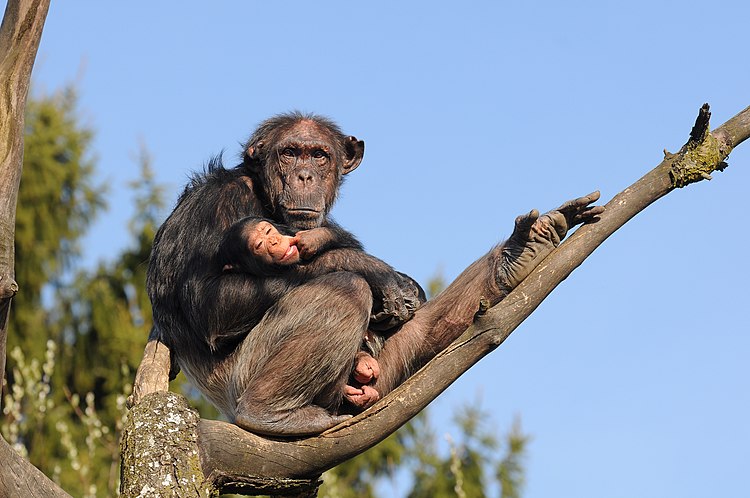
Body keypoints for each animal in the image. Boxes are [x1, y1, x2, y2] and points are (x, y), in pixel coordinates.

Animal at [148, 113, 604, 436]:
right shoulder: (220, 204)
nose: (305, 175)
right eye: (289, 153)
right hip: (242, 377)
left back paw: (519, 254)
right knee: (344, 292)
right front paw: (376, 272)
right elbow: (207, 301)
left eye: (318, 155)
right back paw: (272, 413)